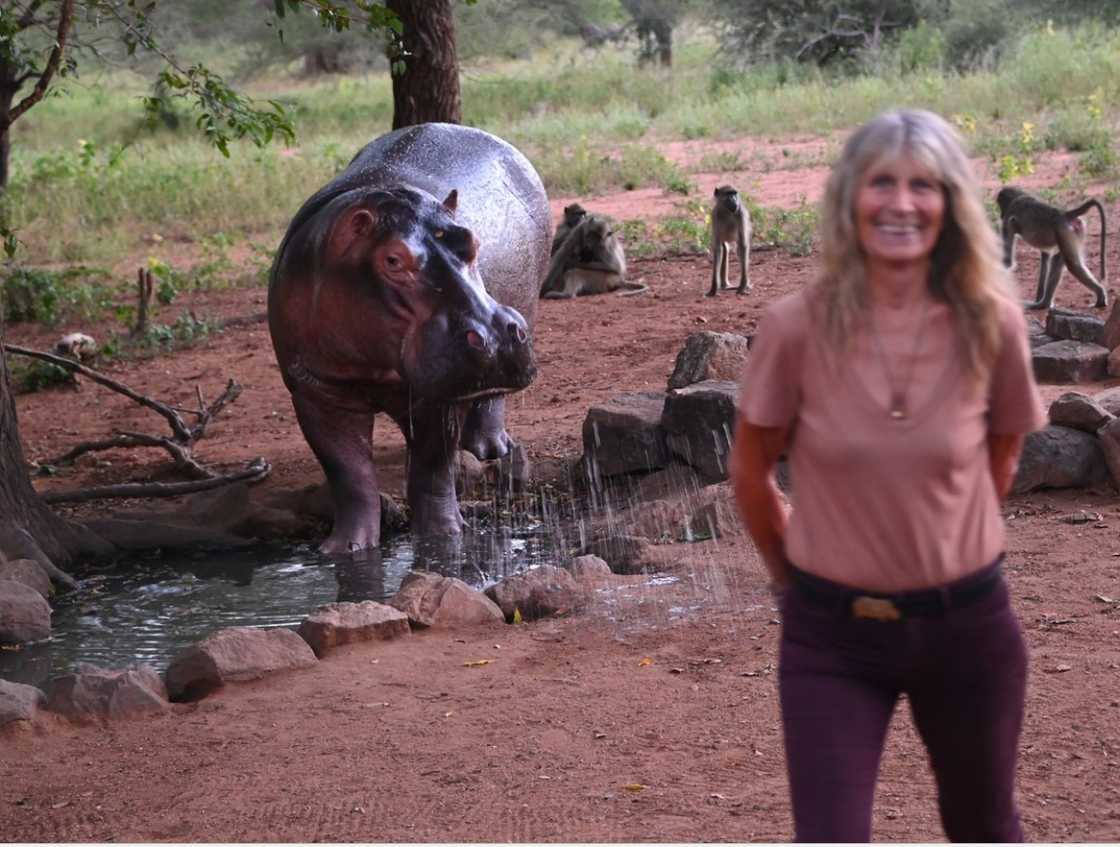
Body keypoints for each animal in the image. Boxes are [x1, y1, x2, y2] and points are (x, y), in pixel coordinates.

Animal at [271, 122, 551, 553]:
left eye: (473, 240)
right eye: (392, 259)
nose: (495, 336)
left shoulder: (440, 396)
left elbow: (433, 468)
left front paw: (444, 537)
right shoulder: (314, 389)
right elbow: (348, 475)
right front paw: (345, 549)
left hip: (526, 312)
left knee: (492, 400)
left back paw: (490, 449)